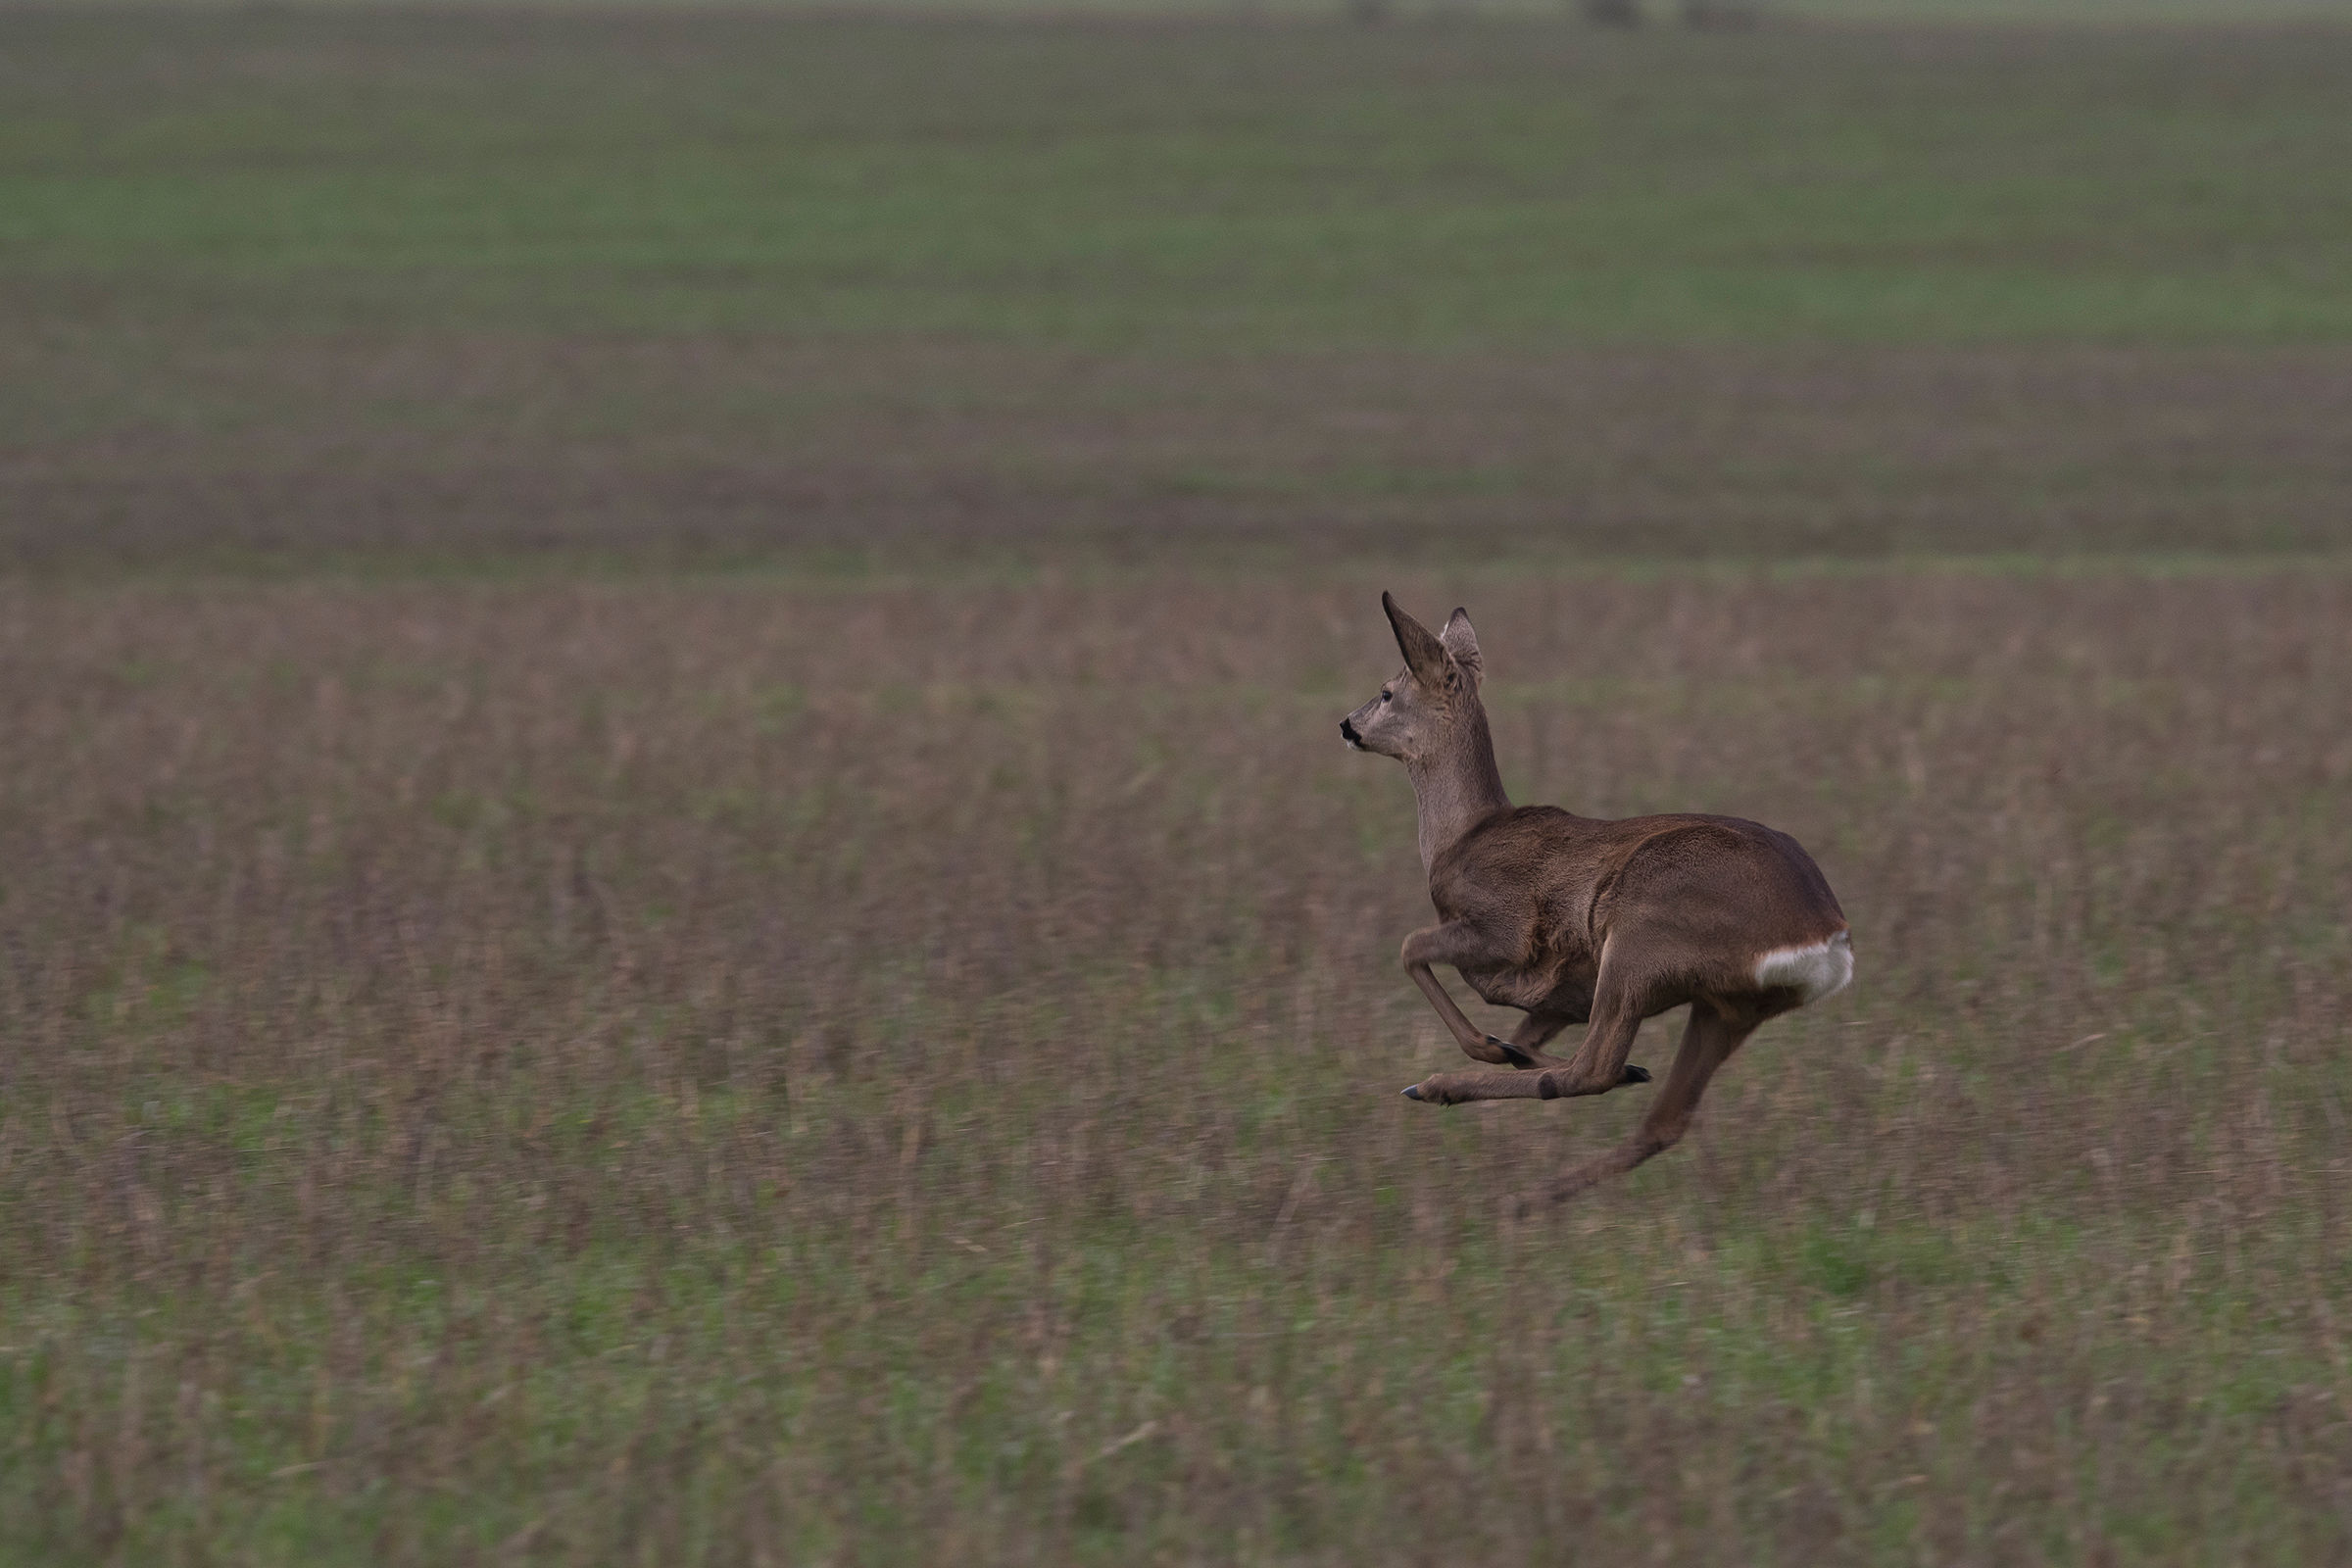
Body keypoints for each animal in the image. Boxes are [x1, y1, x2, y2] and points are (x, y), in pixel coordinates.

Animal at [1340, 594, 1851, 1213]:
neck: (1463, 837)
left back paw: (1438, 1091)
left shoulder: (1503, 928)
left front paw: (1482, 1050)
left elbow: (1411, 948)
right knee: (1662, 1119)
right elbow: (1522, 1033)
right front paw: (1507, 1049)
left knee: (1591, 1069)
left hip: (1636, 940)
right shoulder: (1564, 995)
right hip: (1723, 1005)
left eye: (1388, 690)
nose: (1346, 724)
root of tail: (1825, 937)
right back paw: (1530, 1197)